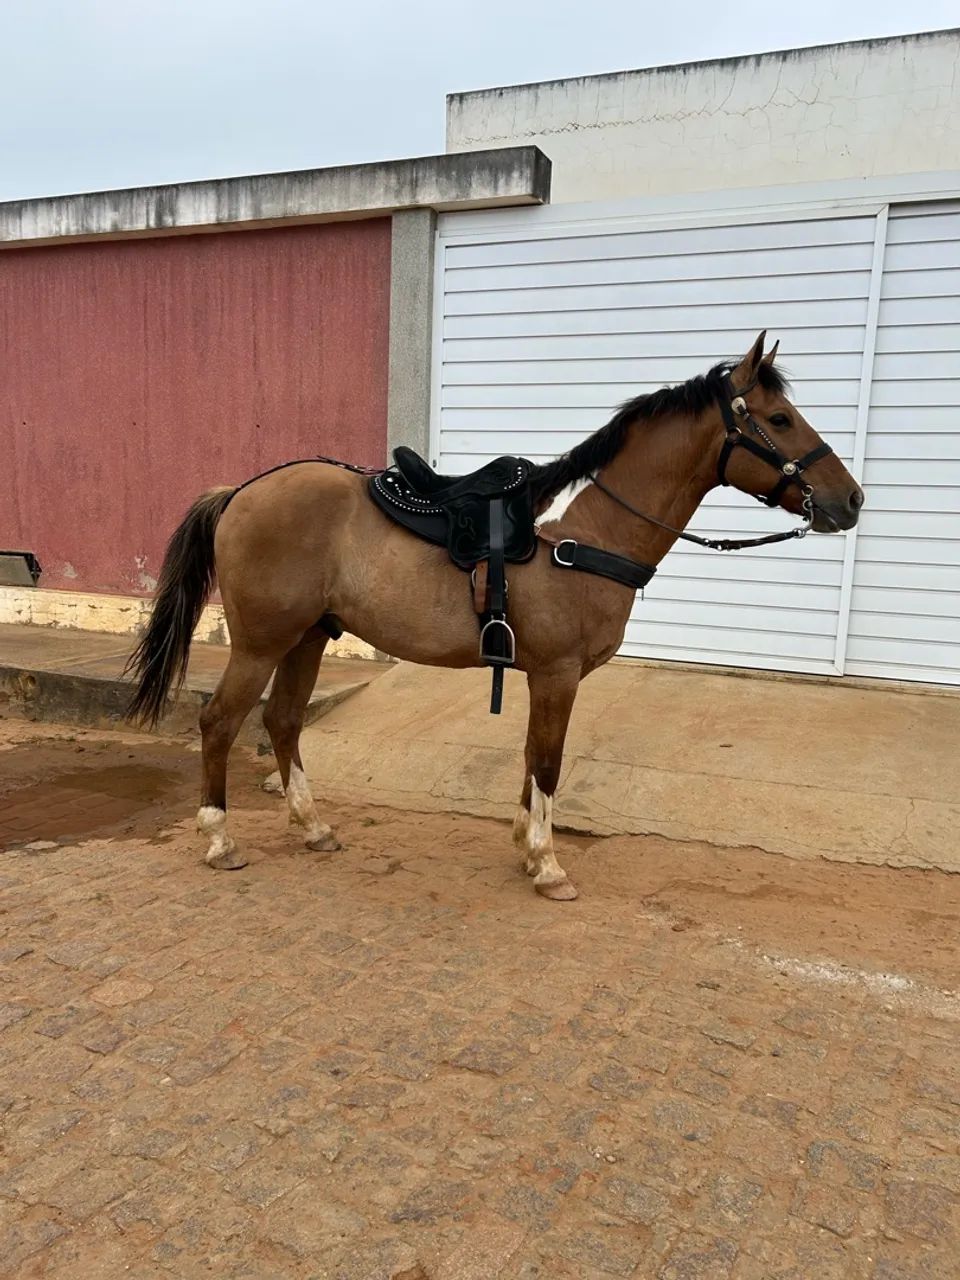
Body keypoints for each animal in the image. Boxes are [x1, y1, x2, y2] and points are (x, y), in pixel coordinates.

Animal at [126, 333, 863, 899]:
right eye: (779, 418)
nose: (851, 500)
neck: (583, 533)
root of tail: (239, 492)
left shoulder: (544, 675)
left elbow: (534, 758)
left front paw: (525, 846)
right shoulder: (558, 675)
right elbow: (550, 762)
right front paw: (548, 865)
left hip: (307, 637)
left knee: (282, 721)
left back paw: (313, 828)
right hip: (261, 643)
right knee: (221, 723)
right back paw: (219, 840)